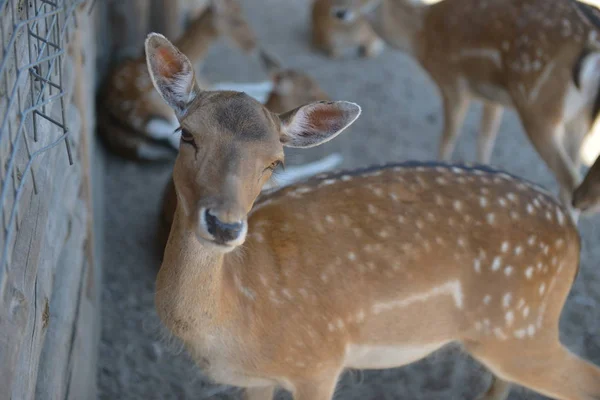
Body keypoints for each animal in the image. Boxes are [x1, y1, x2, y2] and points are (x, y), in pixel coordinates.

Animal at [144, 33, 600, 400]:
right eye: (187, 134)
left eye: (276, 162)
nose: (224, 224)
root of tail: (571, 234)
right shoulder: (257, 380)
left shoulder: (319, 362)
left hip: (519, 332)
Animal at [332, 0, 600, 209]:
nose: (339, 12)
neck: (421, 35)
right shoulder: (492, 98)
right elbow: (485, 141)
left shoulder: (452, 83)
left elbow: (447, 139)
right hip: (579, 119)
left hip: (539, 108)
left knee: (570, 180)